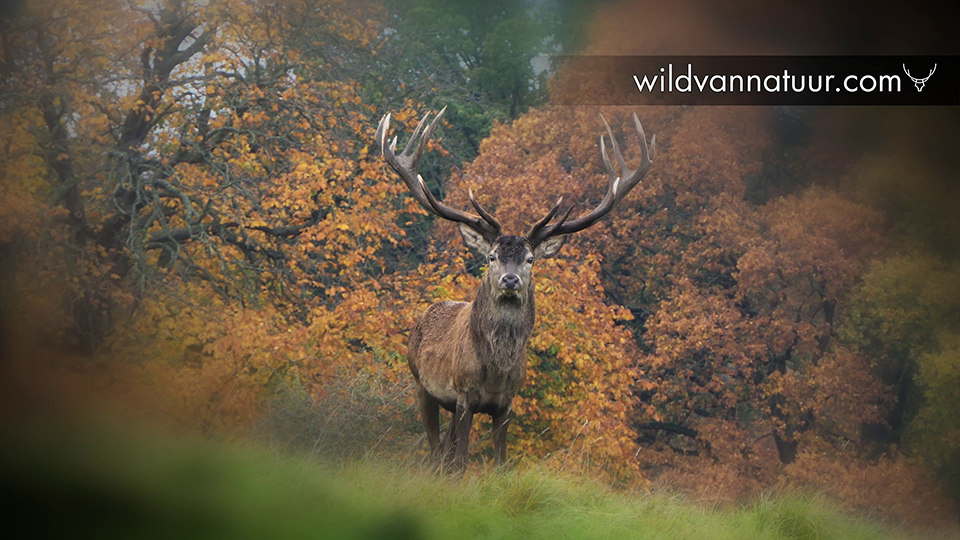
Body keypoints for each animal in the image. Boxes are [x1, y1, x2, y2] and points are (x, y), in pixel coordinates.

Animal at [375, 107, 654, 472]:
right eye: (492, 256)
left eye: (530, 259)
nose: (510, 280)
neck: (496, 371)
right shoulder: (464, 394)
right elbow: (461, 461)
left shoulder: (506, 403)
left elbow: (500, 462)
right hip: (422, 384)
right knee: (437, 450)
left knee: (445, 449)